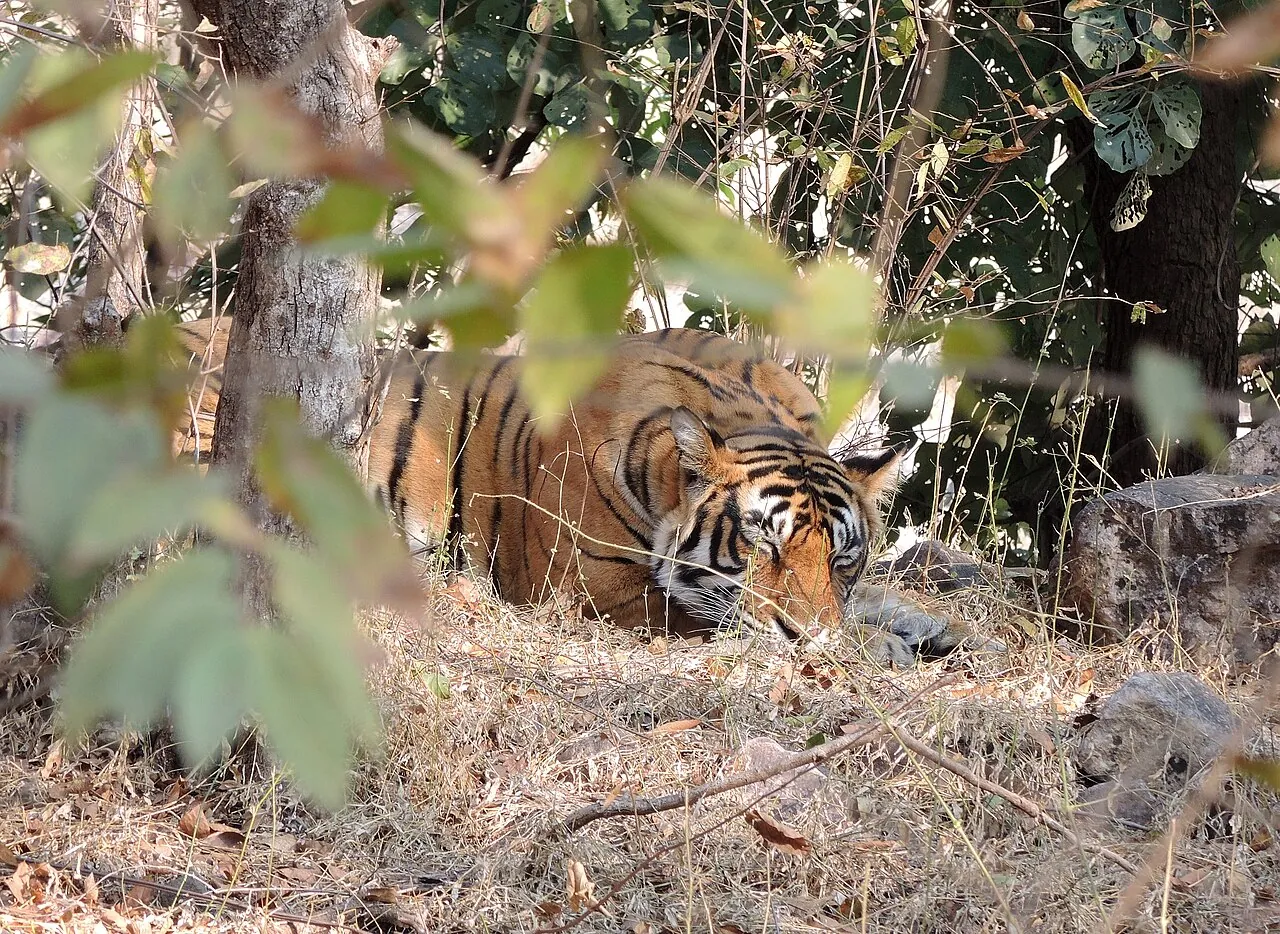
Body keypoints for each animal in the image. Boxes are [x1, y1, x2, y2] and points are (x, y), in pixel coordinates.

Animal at [175, 319, 959, 663]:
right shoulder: (597, 592)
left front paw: (931, 626)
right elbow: (721, 618)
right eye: (761, 541)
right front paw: (872, 646)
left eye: (842, 557)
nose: (809, 637)